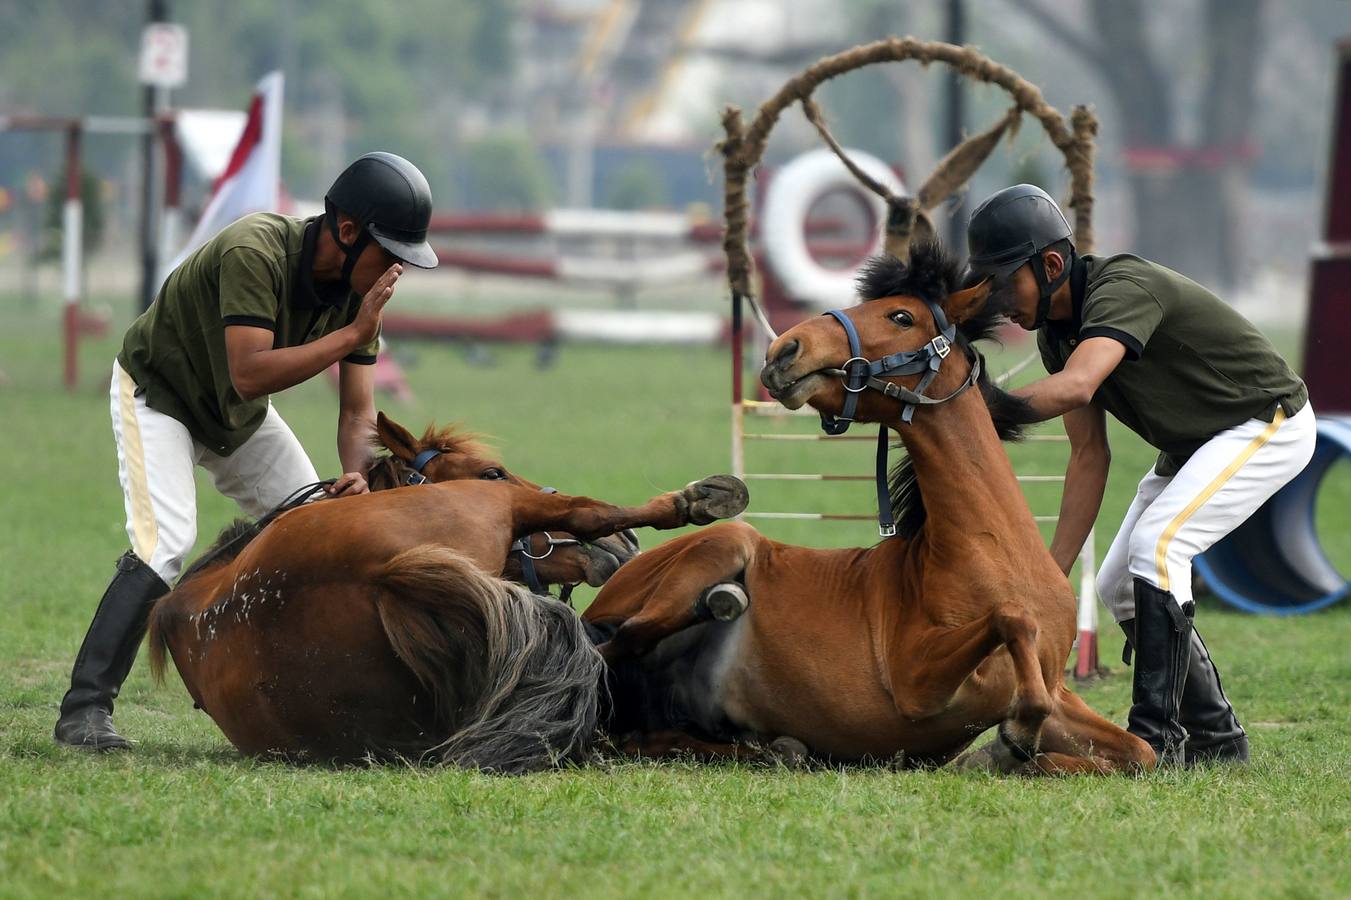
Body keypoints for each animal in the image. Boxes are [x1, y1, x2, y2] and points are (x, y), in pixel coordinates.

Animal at [151, 416, 756, 767]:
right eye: (491, 471)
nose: (620, 548)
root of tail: (386, 570)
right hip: (503, 515)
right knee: (591, 523)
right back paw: (704, 504)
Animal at [586, 241, 1156, 772]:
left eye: (900, 316)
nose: (784, 349)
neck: (991, 553)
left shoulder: (1059, 697)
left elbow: (1140, 753)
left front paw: (1009, 754)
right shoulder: (916, 686)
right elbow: (1010, 621)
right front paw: (1009, 741)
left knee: (643, 734)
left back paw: (767, 740)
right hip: (728, 542)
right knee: (618, 647)